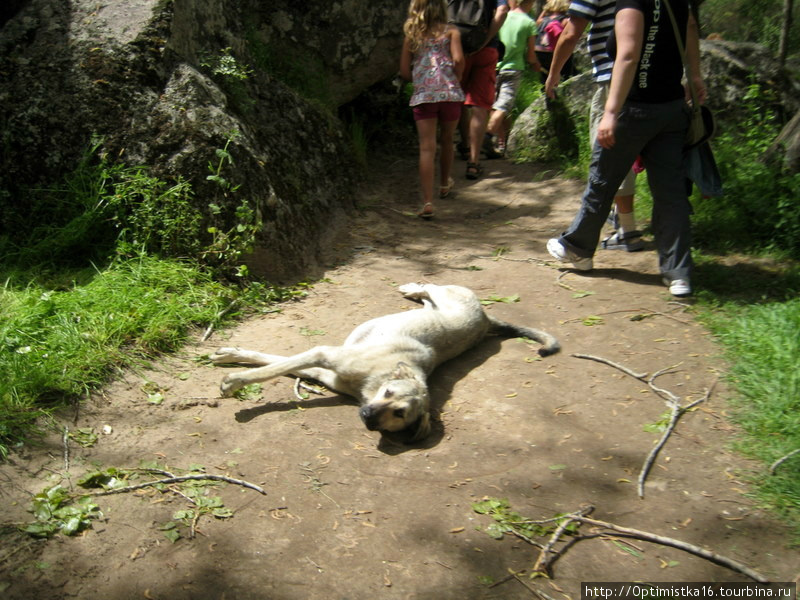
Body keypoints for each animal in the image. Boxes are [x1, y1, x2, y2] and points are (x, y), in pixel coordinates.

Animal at [212, 282, 564, 440]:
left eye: (399, 414)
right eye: (389, 392)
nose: (368, 415)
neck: (372, 382)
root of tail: (488, 319)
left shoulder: (323, 368)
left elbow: (274, 364)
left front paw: (234, 369)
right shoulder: (324, 355)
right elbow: (272, 364)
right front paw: (233, 368)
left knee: (429, 297)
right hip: (448, 296)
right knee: (430, 288)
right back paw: (412, 288)